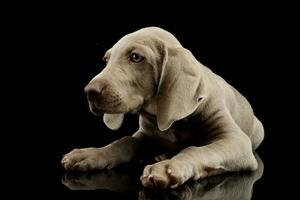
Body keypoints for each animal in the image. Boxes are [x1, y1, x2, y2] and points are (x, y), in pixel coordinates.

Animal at [61, 27, 264, 189]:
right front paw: (89, 154)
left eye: (136, 57)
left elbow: (199, 149)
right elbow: (124, 141)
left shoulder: (236, 140)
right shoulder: (145, 134)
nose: (89, 92)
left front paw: (168, 167)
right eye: (105, 60)